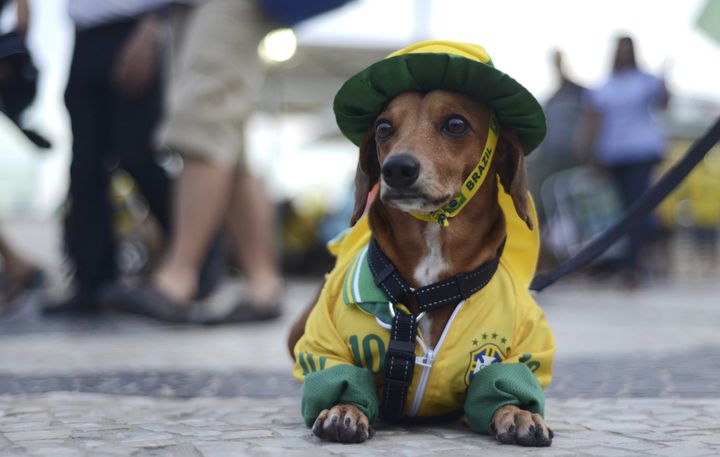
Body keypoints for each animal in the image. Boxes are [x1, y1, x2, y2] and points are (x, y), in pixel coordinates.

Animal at [288, 89, 556, 446]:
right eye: (383, 128)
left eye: (455, 124)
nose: (397, 168)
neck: (429, 286)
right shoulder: (325, 345)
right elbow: (340, 374)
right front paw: (344, 408)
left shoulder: (525, 352)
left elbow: (506, 379)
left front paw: (516, 411)